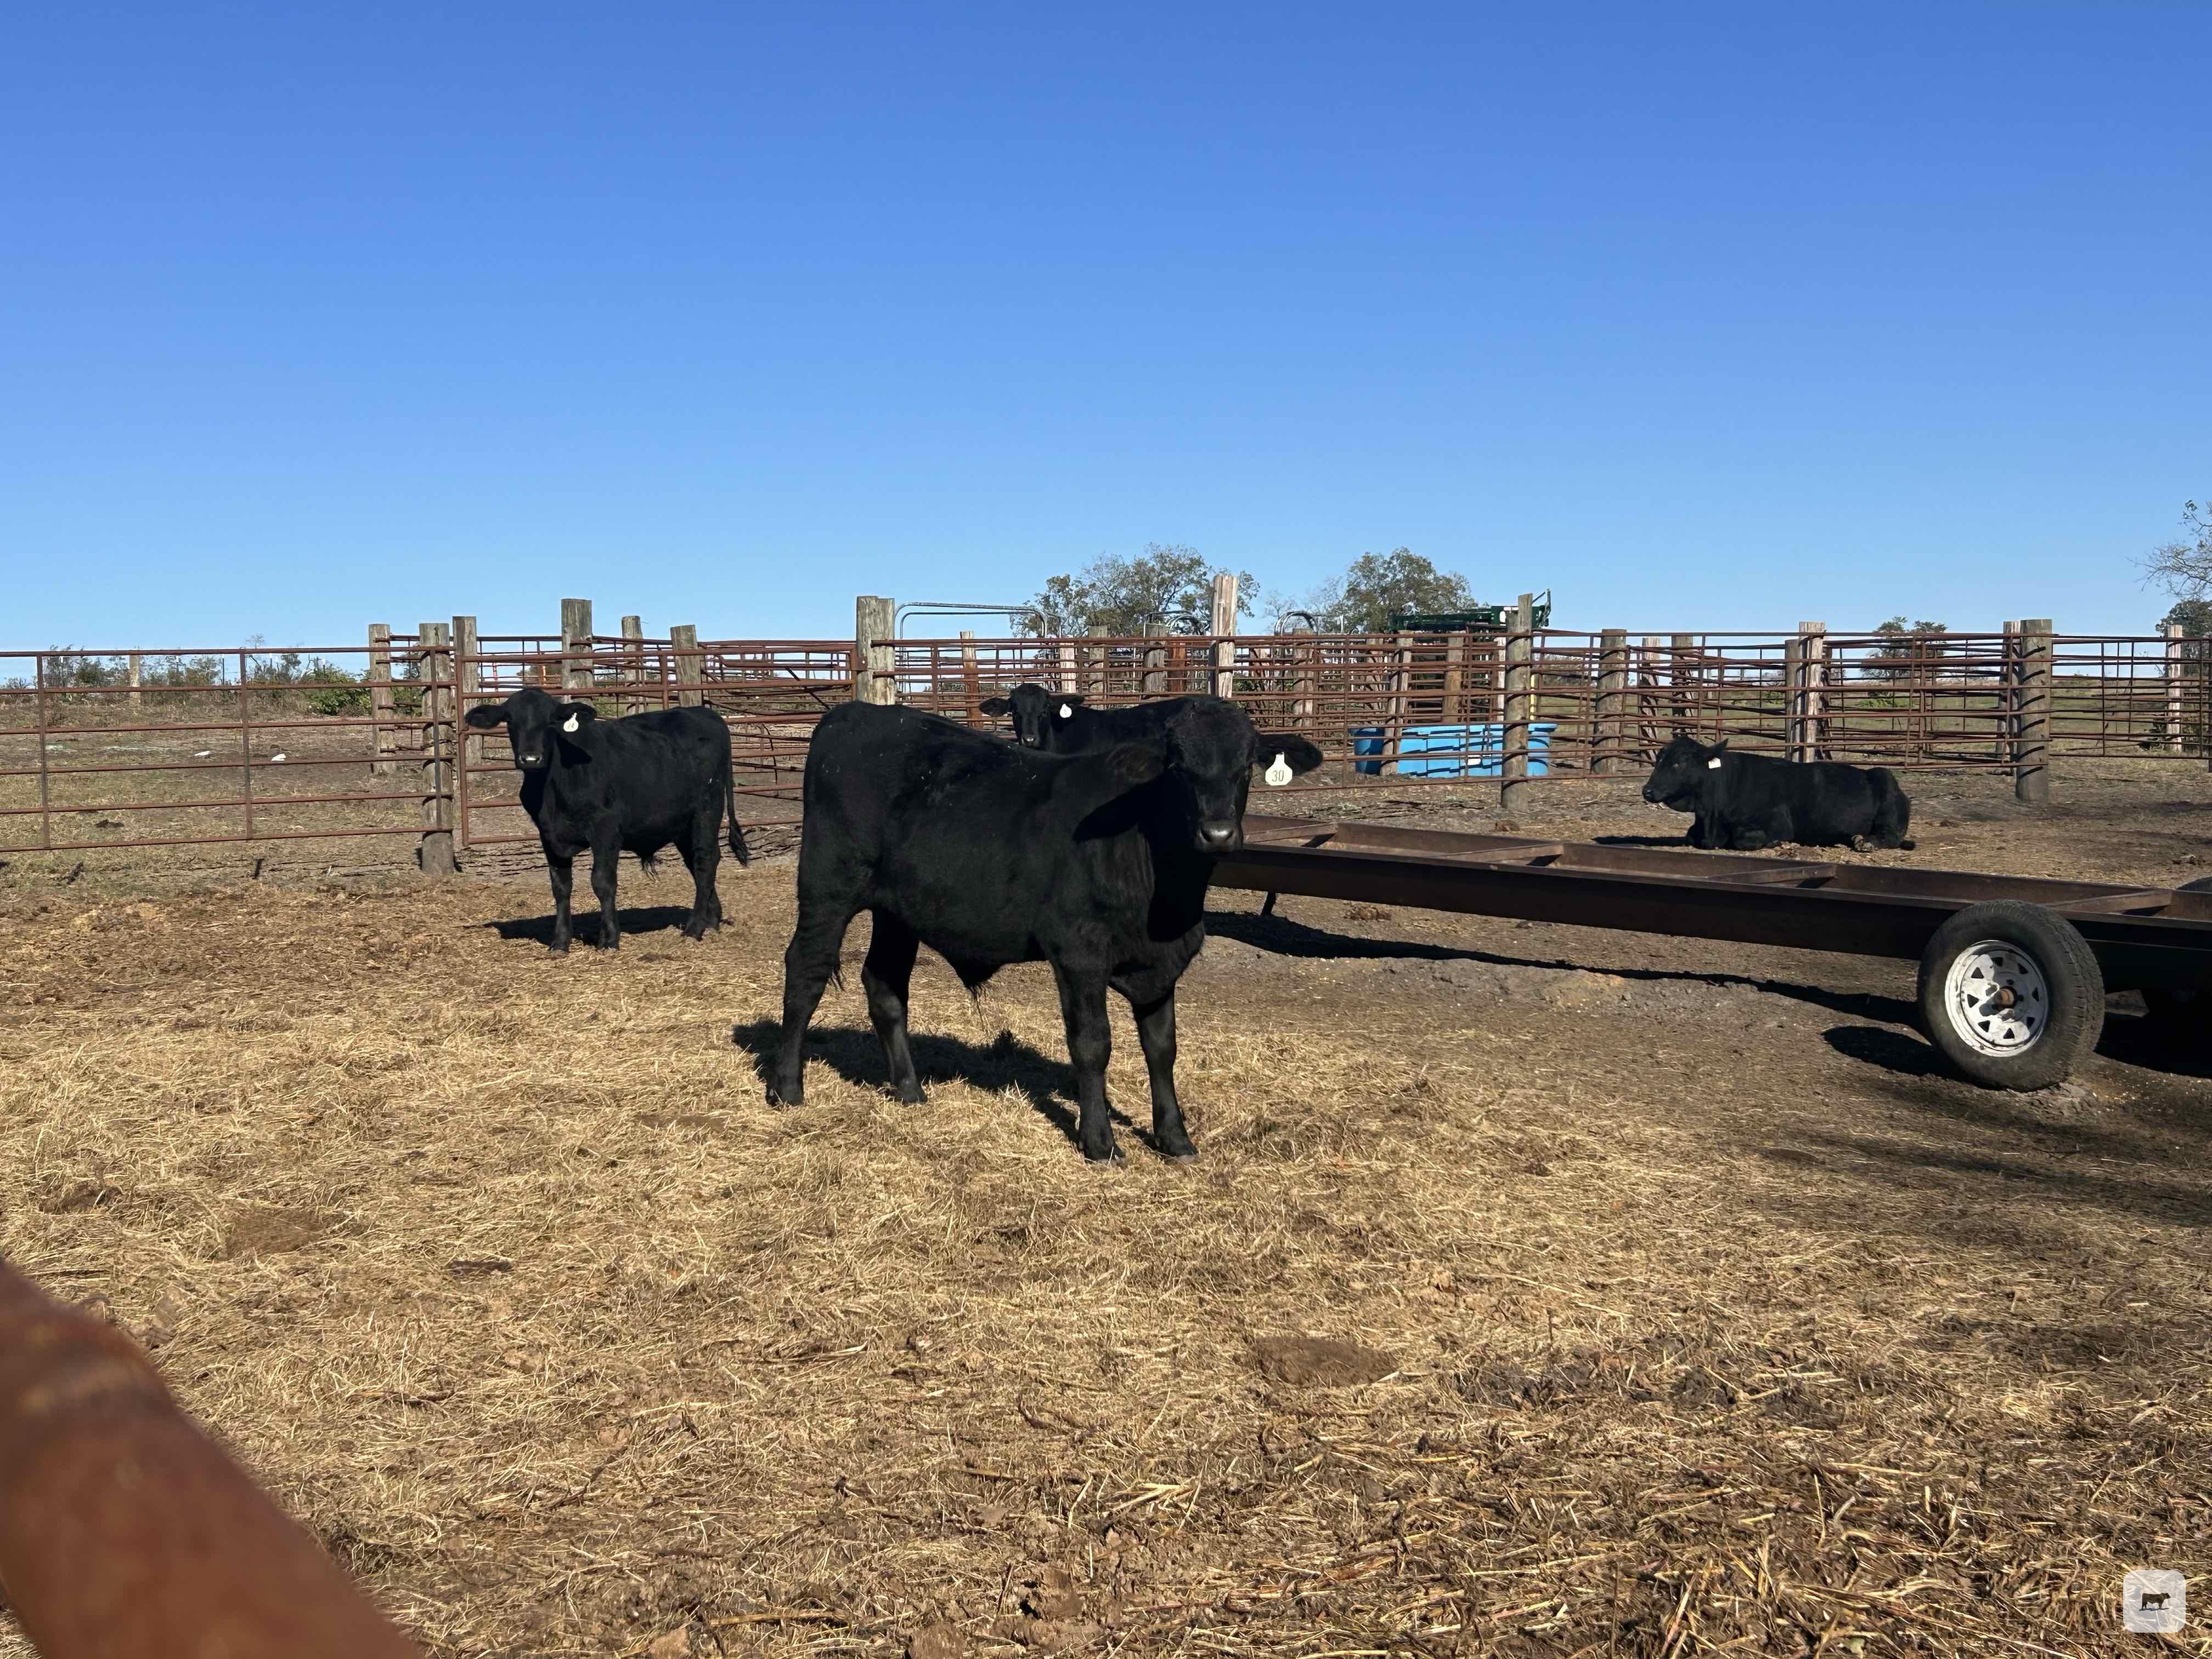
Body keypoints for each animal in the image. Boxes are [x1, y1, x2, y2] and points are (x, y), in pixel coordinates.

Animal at [462, 686, 749, 952]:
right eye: (510, 720)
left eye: (552, 721)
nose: (531, 758)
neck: (553, 789)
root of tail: (706, 714)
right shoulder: (548, 834)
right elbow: (560, 886)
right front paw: (561, 942)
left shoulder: (606, 830)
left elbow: (602, 882)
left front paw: (610, 939)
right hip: (682, 824)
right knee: (696, 864)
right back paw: (711, 921)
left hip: (707, 810)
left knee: (706, 861)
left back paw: (694, 928)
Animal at [768, 696, 1324, 1161]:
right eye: (1178, 768)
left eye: (1246, 766)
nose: (1218, 833)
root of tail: (856, 712)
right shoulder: (1079, 954)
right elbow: (1093, 1045)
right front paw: (1100, 1142)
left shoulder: (1161, 964)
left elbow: (1163, 1049)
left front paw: (1175, 1139)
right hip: (827, 887)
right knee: (806, 971)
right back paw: (787, 1088)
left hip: (898, 910)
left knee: (884, 987)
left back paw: (910, 1090)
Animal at [1641, 734, 1912, 852]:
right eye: (1659, 759)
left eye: (1680, 763)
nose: (1648, 790)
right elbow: (1690, 836)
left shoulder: (1778, 824)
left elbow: (1744, 839)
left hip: (1887, 793)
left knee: (1890, 836)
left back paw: (1866, 842)